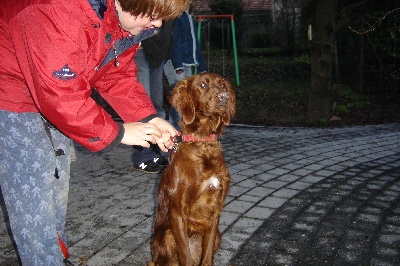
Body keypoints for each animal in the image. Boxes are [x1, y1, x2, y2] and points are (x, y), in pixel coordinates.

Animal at [148, 72, 236, 266]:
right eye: (203, 85)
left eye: (223, 85)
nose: (224, 97)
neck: (203, 144)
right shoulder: (178, 213)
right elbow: (186, 257)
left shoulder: (215, 211)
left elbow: (207, 255)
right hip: (166, 235)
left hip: (218, 236)